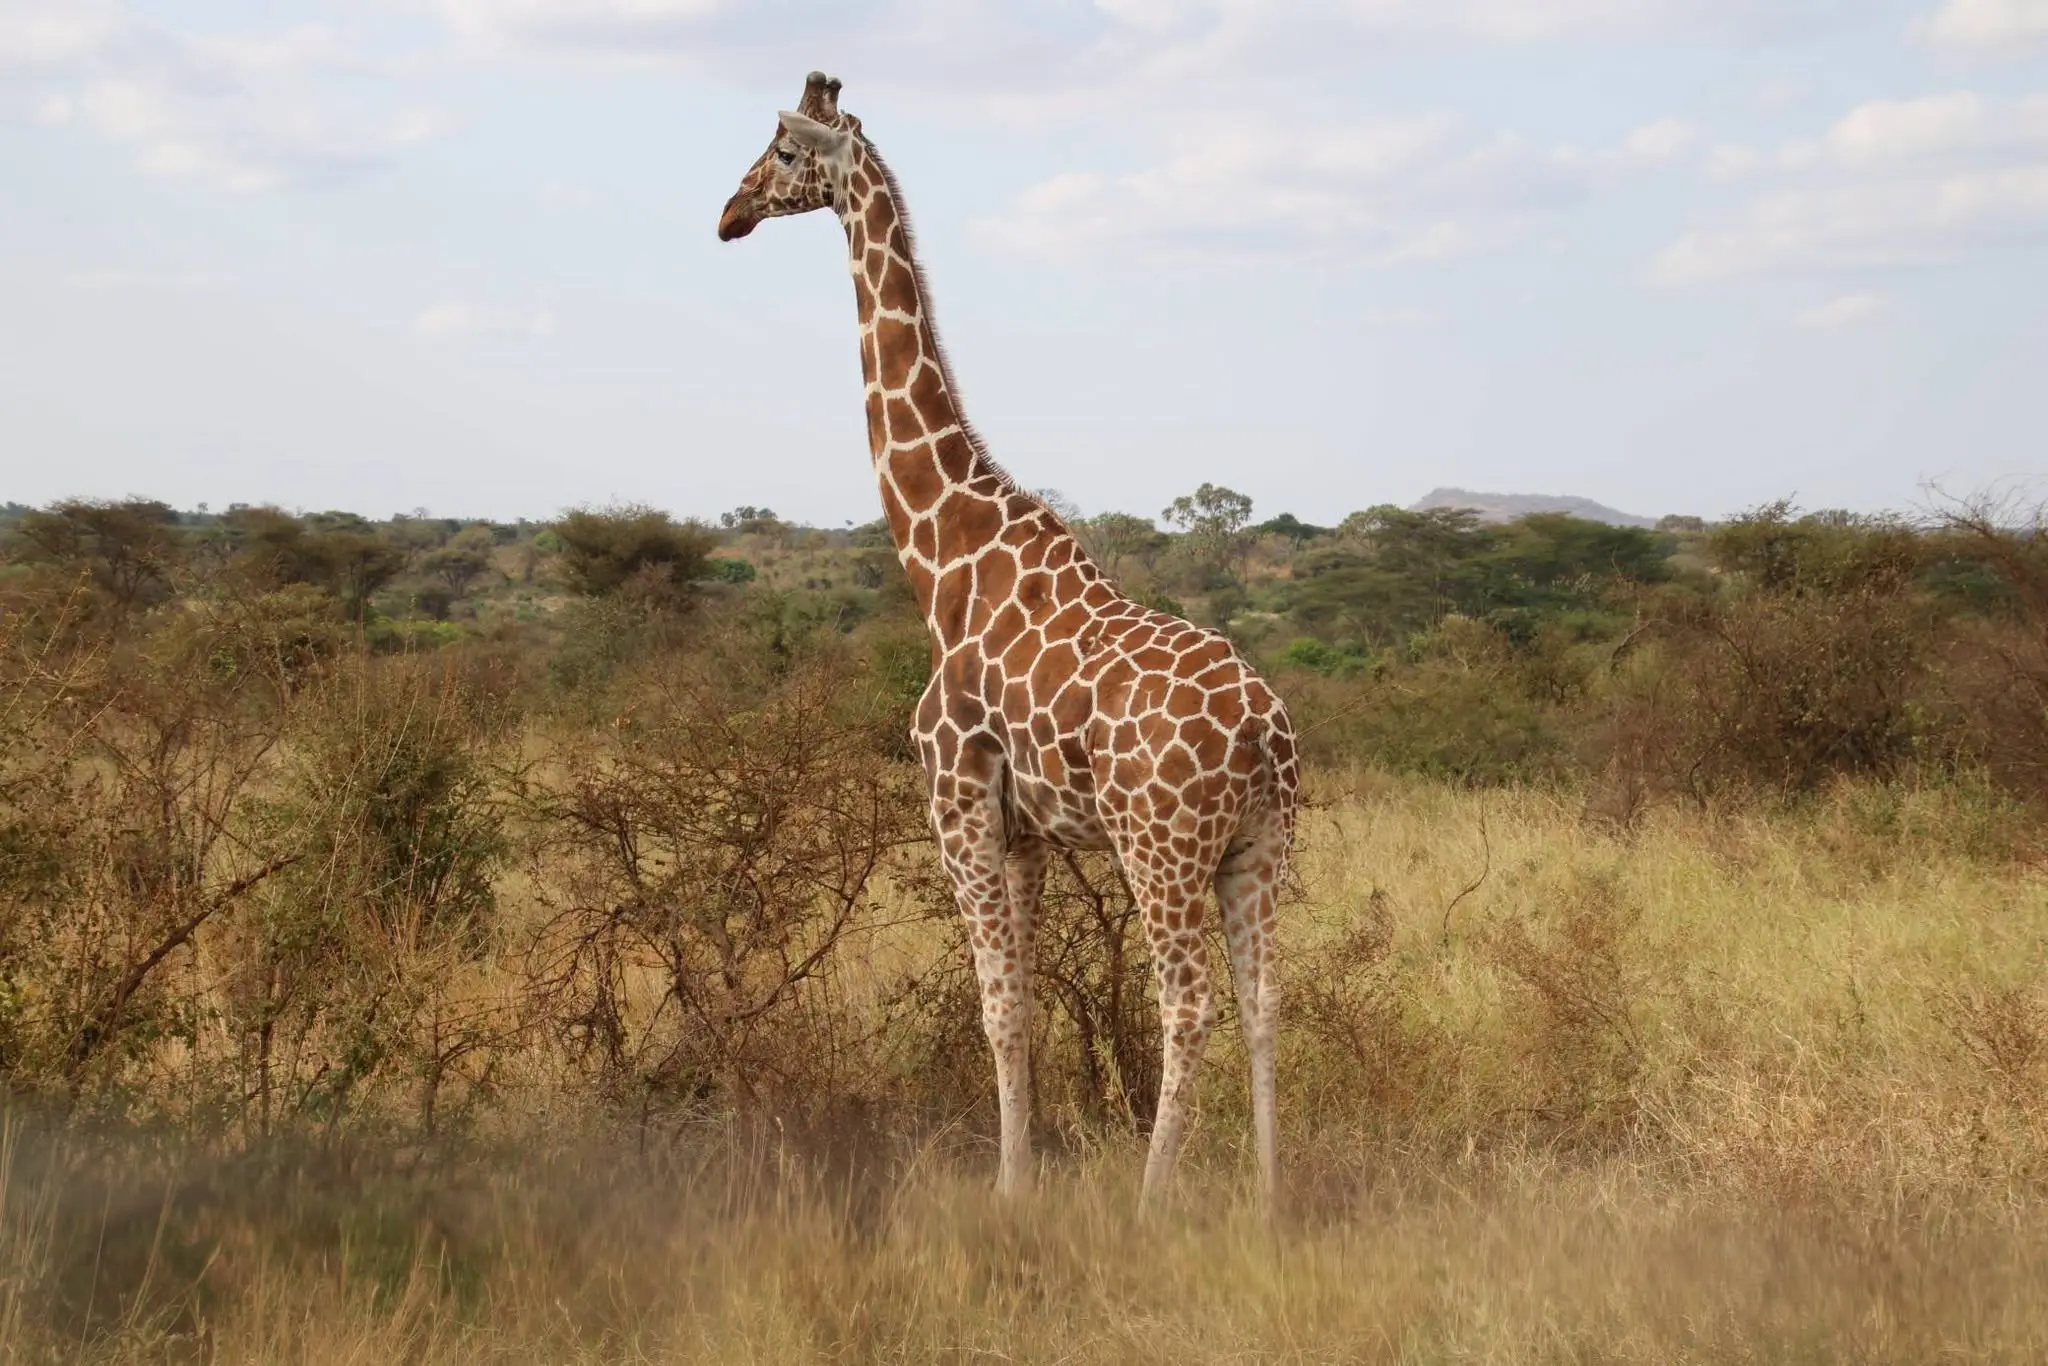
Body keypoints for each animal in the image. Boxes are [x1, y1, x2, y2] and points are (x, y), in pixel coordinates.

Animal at [718, 72, 1300, 1208]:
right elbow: (1023, 1005)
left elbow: (994, 1010)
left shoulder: (956, 805)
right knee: (1263, 1004)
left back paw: (1150, 1202)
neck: (943, 561)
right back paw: (1263, 1201)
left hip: (1158, 848)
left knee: (1189, 1005)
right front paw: (1020, 1180)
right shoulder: (1024, 829)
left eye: (782, 150)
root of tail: (1263, 734)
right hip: (1259, 846)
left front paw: (1007, 1194)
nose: (728, 213)